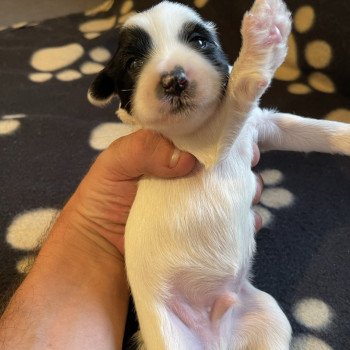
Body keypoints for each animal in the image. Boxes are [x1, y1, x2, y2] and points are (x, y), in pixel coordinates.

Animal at [88, 1, 350, 348]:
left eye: (200, 42)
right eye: (132, 63)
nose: (174, 80)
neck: (193, 127)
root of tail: (216, 339)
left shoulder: (262, 125)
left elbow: (313, 130)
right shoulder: (205, 145)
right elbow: (241, 85)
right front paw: (264, 34)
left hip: (267, 316)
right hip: (172, 335)